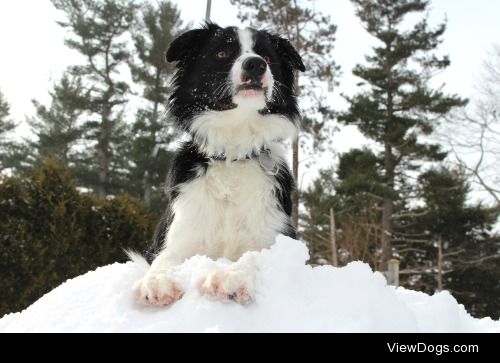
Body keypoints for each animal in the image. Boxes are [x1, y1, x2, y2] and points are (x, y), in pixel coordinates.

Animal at [134, 22, 304, 308]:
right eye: (222, 53)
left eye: (267, 57)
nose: (256, 64)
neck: (234, 152)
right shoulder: (182, 234)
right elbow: (164, 259)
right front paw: (156, 282)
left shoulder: (278, 239)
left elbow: (255, 257)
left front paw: (230, 277)